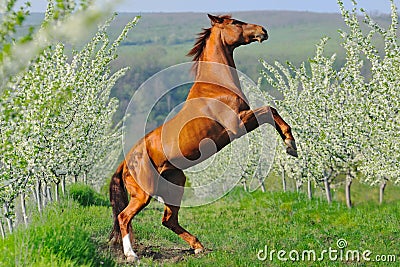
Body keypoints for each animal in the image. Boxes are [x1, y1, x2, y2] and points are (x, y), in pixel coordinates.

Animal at [109, 14, 296, 262]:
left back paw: (198, 247)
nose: (262, 30)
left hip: (175, 184)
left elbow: (270, 112)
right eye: (235, 23)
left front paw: (290, 144)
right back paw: (131, 255)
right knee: (125, 217)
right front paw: (290, 145)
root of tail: (125, 162)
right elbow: (269, 110)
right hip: (143, 194)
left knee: (168, 220)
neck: (216, 86)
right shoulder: (238, 124)